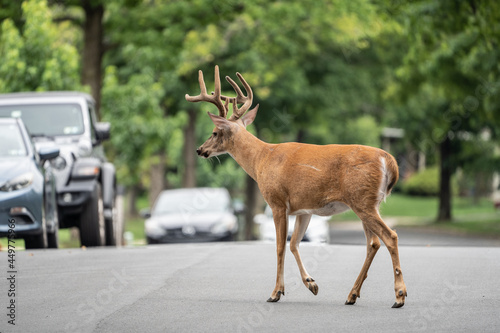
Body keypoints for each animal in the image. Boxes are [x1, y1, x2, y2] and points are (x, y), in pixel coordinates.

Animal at [186, 65, 408, 306]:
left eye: (215, 132)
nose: (200, 149)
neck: (261, 160)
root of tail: (389, 160)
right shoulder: (304, 209)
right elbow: (294, 243)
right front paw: (311, 284)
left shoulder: (277, 202)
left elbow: (279, 247)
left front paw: (275, 292)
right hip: (368, 202)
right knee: (373, 243)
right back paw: (352, 295)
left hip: (362, 200)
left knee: (389, 236)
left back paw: (399, 295)